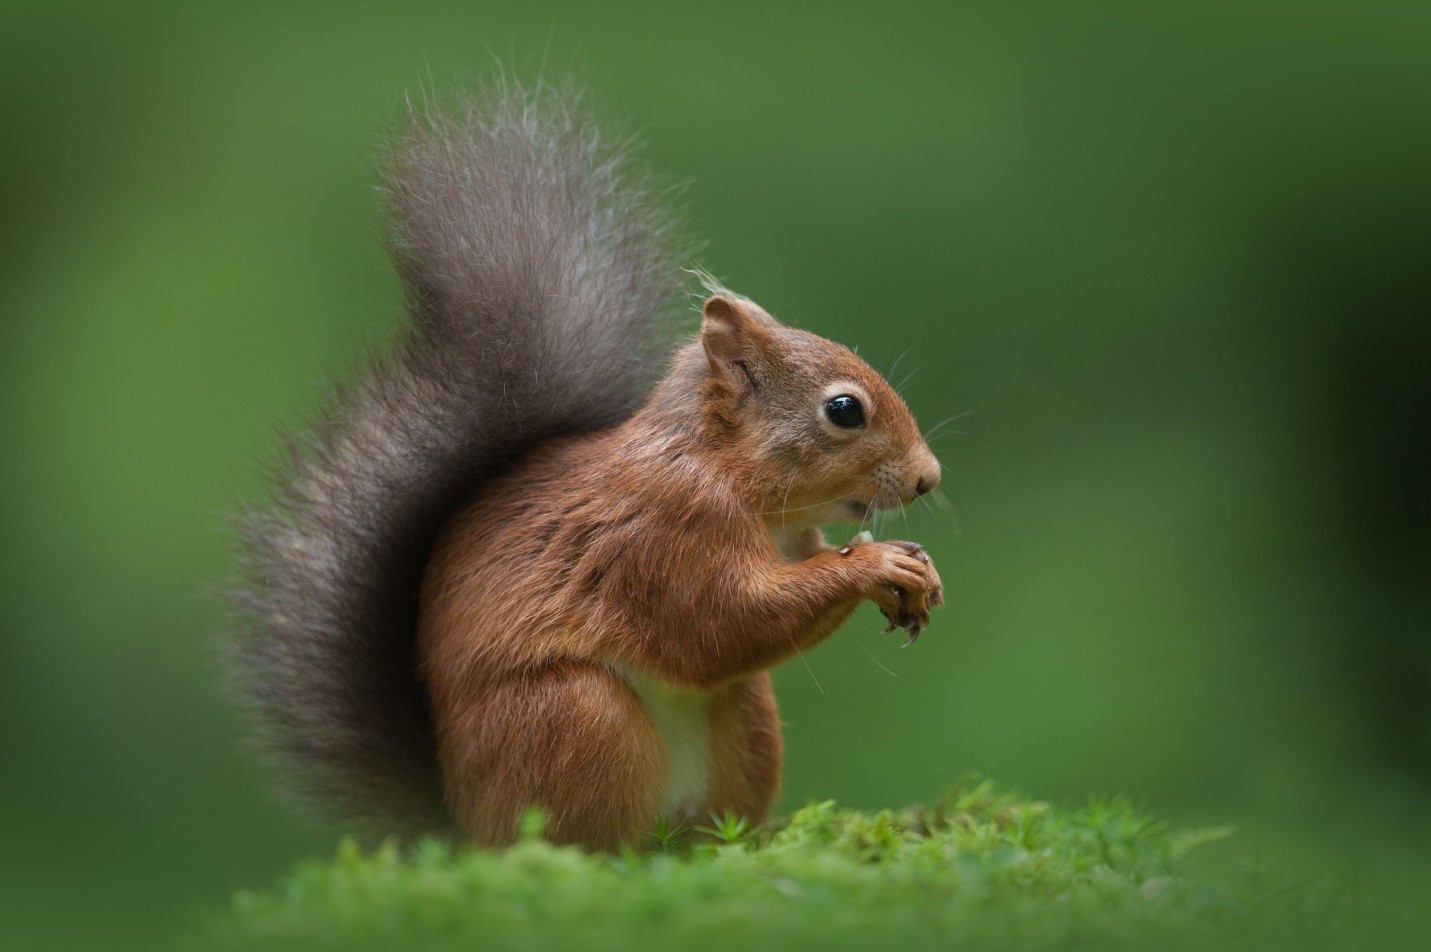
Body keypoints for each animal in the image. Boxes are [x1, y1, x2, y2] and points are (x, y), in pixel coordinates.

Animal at [234, 81, 944, 847]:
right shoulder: (667, 532)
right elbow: (723, 623)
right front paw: (874, 565)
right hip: (573, 718)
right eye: (843, 410)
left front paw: (914, 571)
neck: (736, 477)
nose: (927, 478)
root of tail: (460, 826)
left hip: (746, 721)